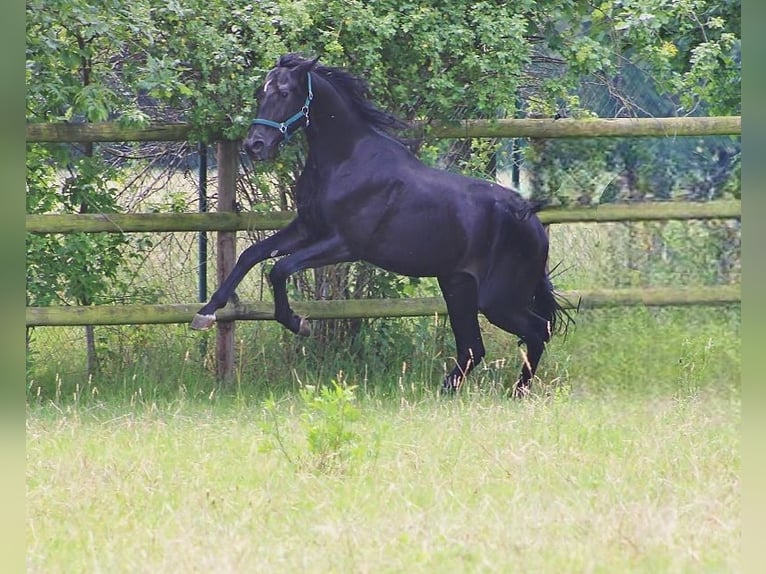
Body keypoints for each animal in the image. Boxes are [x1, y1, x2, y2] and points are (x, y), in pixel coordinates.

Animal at [192, 53, 568, 396]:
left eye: (284, 92)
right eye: (260, 91)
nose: (255, 145)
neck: (348, 160)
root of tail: (532, 221)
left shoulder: (343, 244)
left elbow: (280, 269)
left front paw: (299, 323)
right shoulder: (306, 229)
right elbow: (251, 256)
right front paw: (206, 313)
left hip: (498, 300)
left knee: (537, 331)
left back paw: (517, 393)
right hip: (459, 287)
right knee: (474, 347)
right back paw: (445, 393)